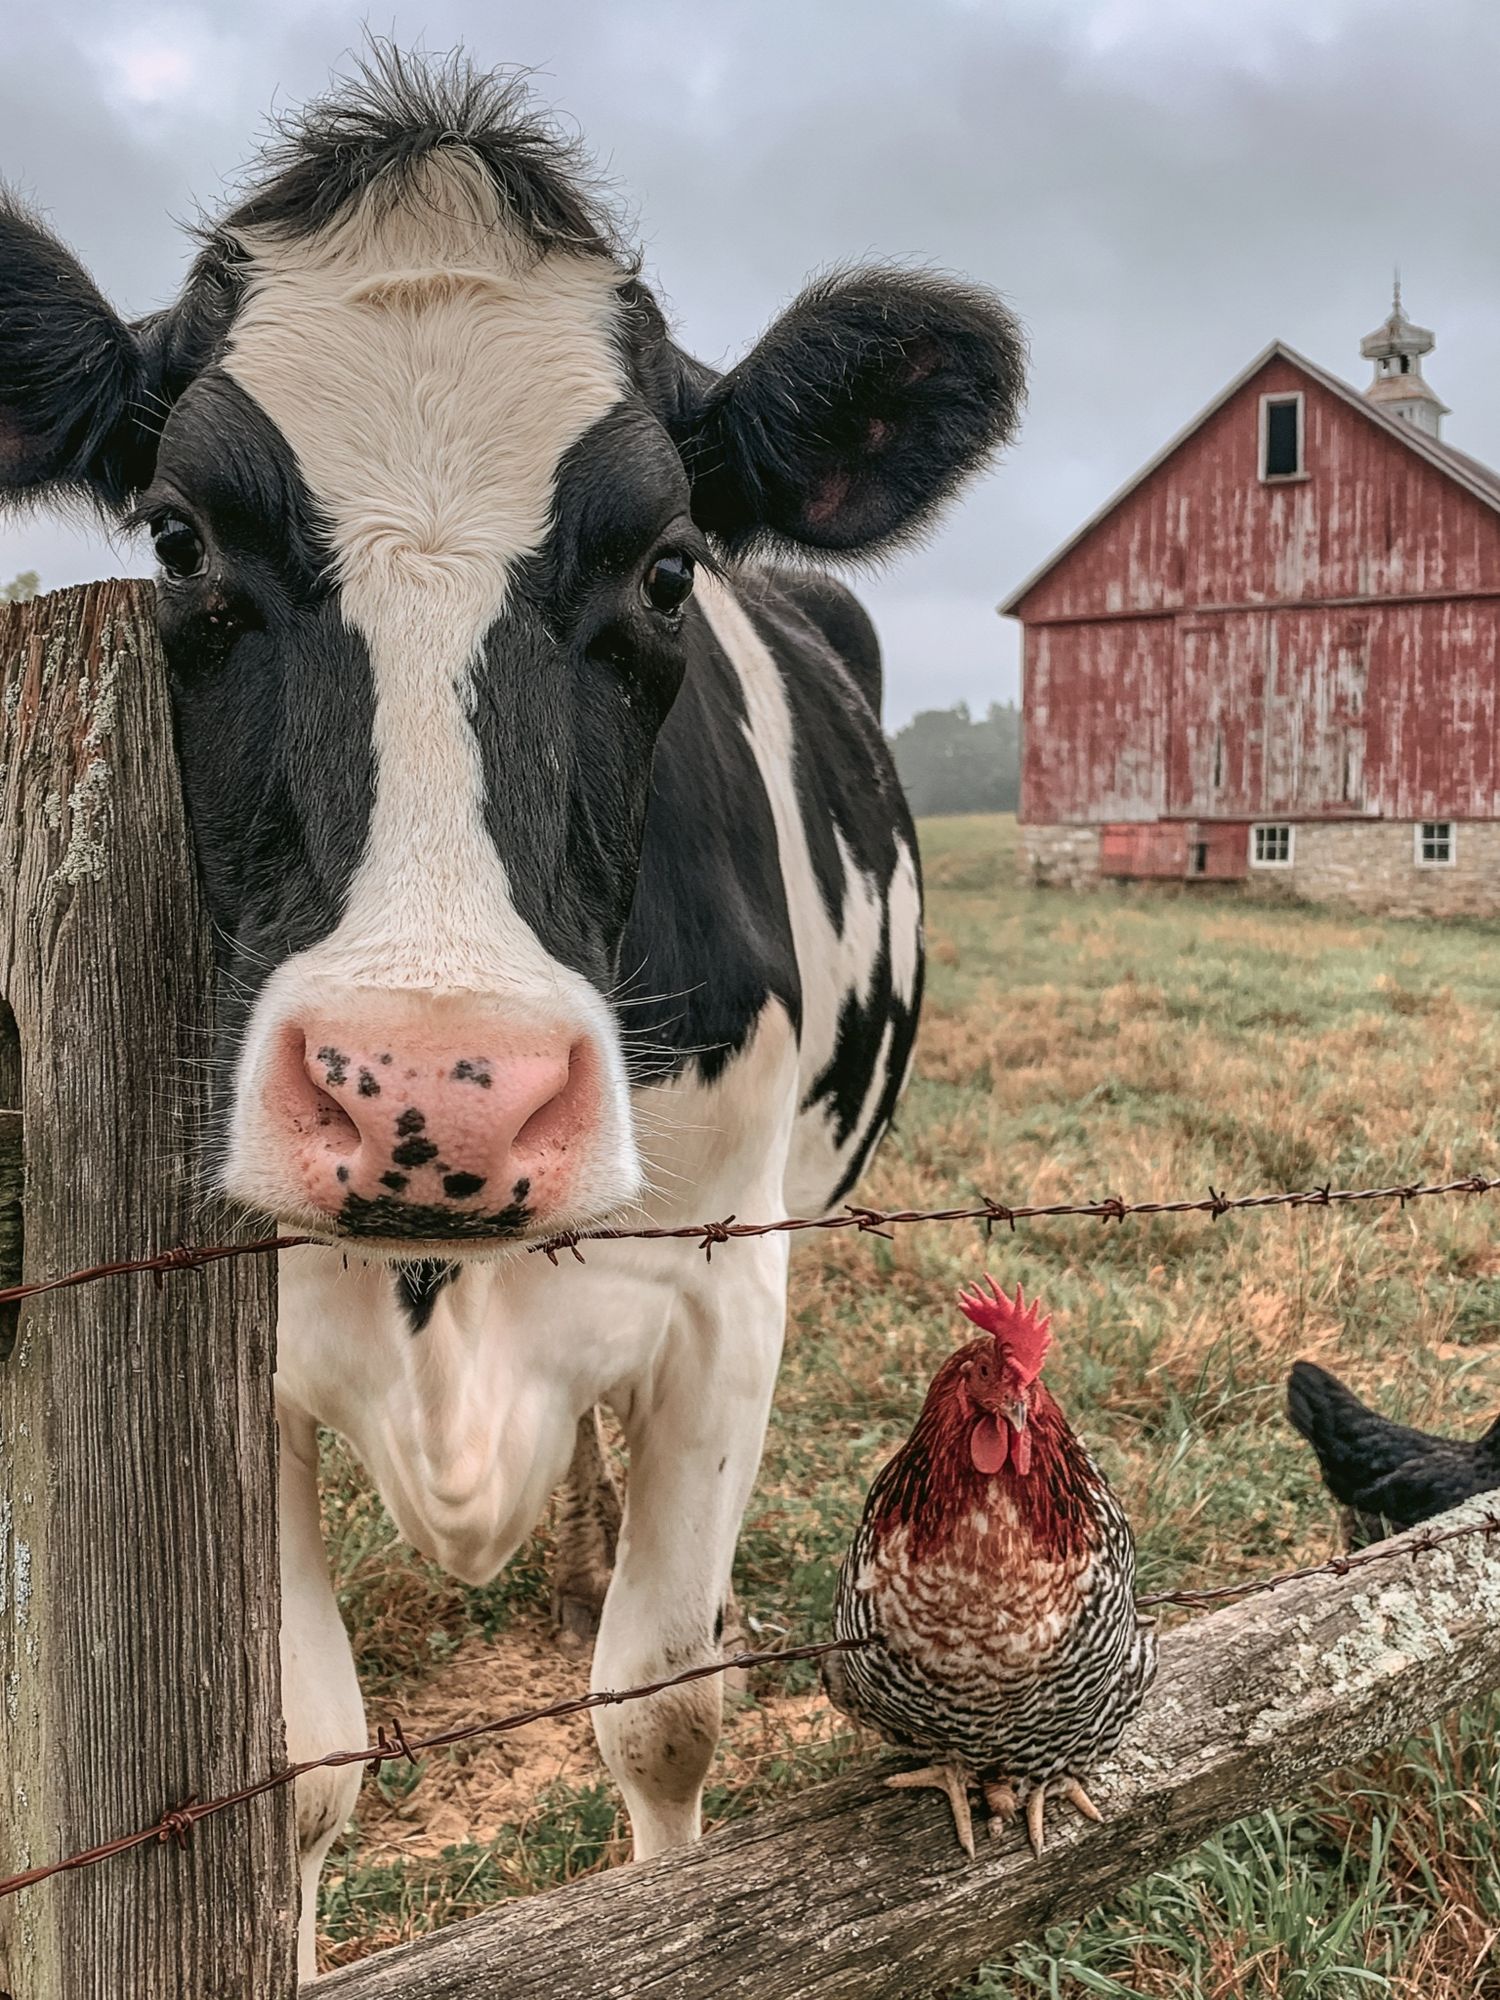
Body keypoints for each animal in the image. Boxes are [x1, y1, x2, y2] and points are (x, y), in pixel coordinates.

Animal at [0, 51, 1023, 1976]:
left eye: (670, 567)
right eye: (177, 540)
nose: (434, 1092)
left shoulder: (726, 1294)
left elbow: (664, 1710)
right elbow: (300, 1769)